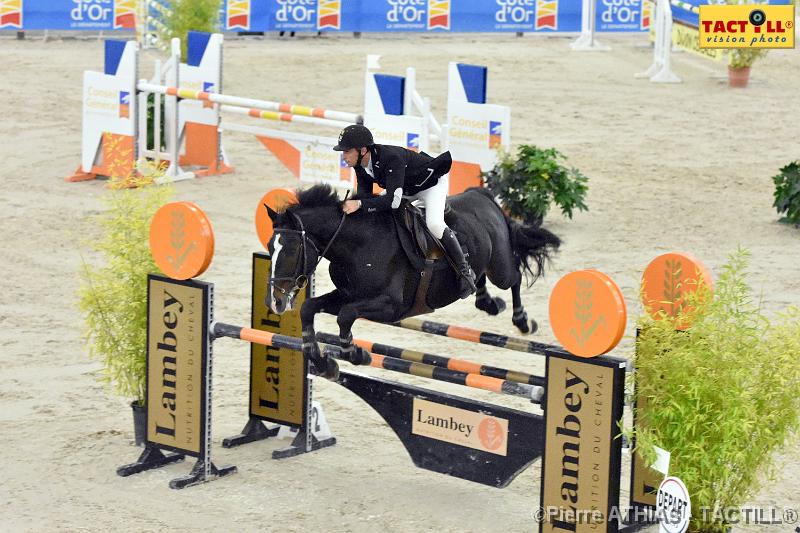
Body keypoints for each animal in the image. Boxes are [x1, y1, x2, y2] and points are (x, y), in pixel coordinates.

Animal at [266, 185, 560, 376]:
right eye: (270, 247)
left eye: (291, 250)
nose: (276, 302)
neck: (358, 245)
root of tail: (481, 195)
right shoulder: (346, 294)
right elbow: (309, 308)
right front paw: (324, 363)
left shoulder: (390, 306)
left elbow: (345, 316)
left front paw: (356, 354)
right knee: (479, 278)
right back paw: (486, 300)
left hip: (499, 266)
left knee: (515, 277)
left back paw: (522, 321)